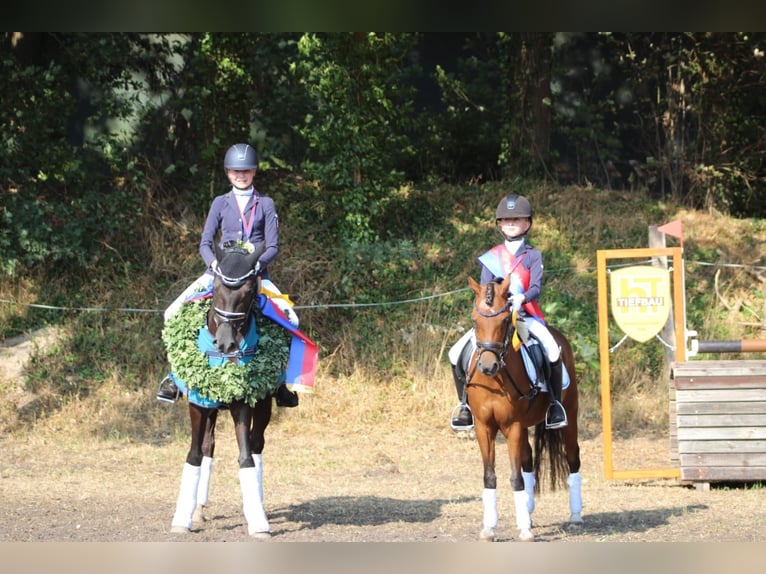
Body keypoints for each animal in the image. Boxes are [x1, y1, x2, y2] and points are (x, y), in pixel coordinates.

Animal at [468, 276, 584, 544]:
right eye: (475, 320)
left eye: (503, 320)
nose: (487, 367)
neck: (495, 380)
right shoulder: (484, 427)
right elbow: (490, 475)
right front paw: (489, 528)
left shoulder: (513, 426)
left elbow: (515, 477)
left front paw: (524, 531)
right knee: (528, 459)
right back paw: (528, 512)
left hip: (569, 417)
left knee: (572, 457)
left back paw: (575, 516)